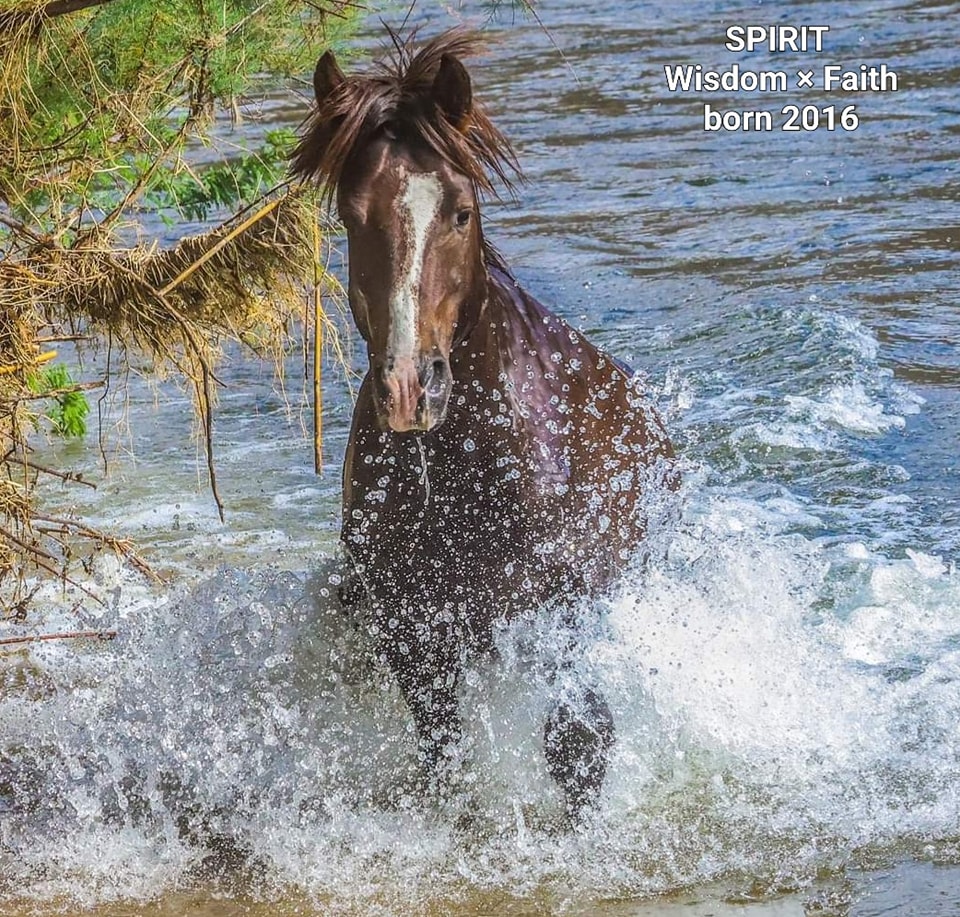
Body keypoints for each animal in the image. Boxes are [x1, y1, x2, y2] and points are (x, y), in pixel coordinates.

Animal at [291, 29, 676, 821]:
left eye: (461, 211)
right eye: (350, 216)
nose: (411, 387)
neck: (470, 467)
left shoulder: (560, 613)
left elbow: (579, 739)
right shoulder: (415, 630)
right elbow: (444, 754)